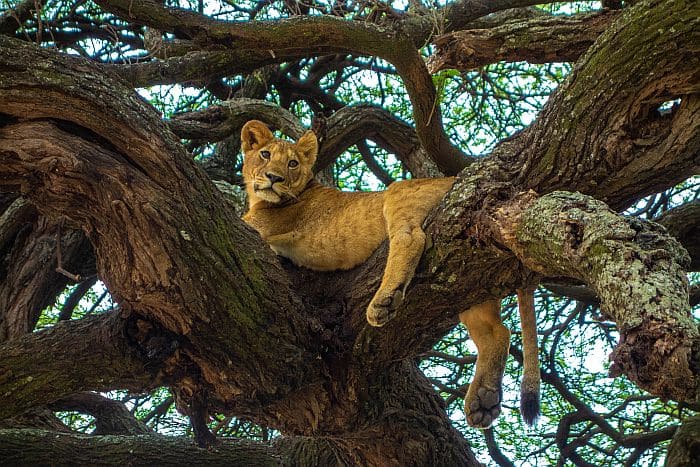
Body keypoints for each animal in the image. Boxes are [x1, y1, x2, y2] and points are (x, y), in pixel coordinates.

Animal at [238, 120, 540, 428]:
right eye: (264, 155)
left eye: (293, 163)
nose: (274, 178)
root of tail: (453, 179)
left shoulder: (258, 226)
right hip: (471, 285)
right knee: (497, 332)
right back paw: (484, 400)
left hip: (399, 193)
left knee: (410, 237)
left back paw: (384, 301)